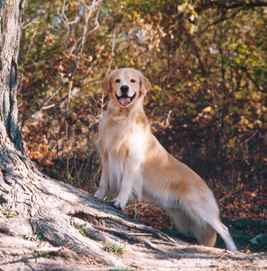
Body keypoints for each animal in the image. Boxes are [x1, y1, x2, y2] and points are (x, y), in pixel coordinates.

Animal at [95, 68, 238, 253]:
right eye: (118, 81)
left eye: (132, 81)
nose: (124, 88)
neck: (121, 117)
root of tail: (205, 183)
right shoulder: (107, 156)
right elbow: (103, 182)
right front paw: (97, 196)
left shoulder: (132, 160)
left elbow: (125, 184)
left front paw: (119, 201)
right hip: (189, 217)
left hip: (199, 208)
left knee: (224, 228)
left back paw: (233, 250)